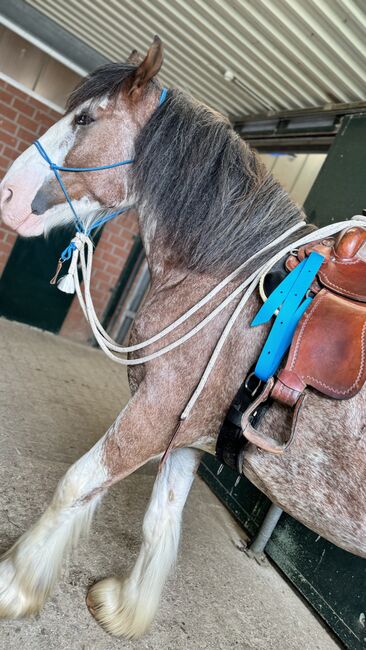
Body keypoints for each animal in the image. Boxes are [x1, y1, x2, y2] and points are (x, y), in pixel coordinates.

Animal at [0, 38, 366, 636]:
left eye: (84, 118)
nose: (7, 192)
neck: (225, 278)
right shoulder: (185, 433)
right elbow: (161, 519)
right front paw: (125, 609)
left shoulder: (151, 417)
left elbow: (76, 484)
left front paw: (15, 586)